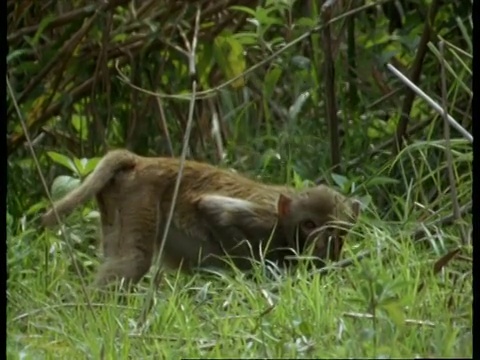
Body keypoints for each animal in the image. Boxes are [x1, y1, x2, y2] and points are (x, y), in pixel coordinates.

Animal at [43, 148, 360, 286]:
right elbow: (215, 209)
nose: (322, 244)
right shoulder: (265, 221)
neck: (284, 228)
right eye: (309, 225)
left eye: (336, 230)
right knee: (132, 262)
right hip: (139, 198)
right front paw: (254, 276)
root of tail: (141, 162)